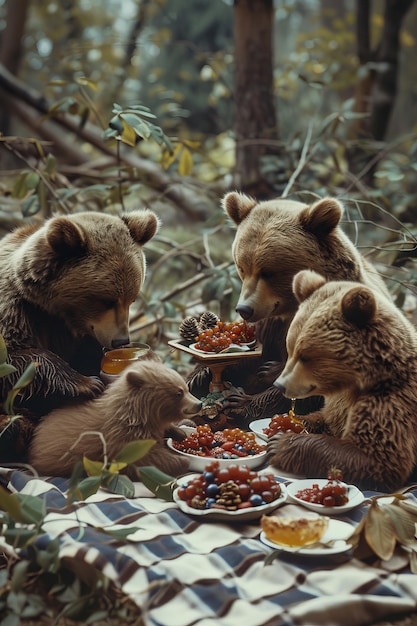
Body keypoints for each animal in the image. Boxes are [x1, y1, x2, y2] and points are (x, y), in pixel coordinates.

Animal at [0, 208, 159, 414]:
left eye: (132, 299)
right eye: (106, 301)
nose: (121, 341)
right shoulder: (17, 310)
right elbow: (15, 359)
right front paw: (87, 383)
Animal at [28, 358, 202, 476]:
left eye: (186, 388)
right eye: (178, 393)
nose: (199, 404)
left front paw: (181, 433)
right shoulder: (123, 437)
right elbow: (144, 460)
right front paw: (184, 460)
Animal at [266, 270, 416, 490]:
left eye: (306, 356)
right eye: (290, 348)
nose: (280, 385)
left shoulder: (391, 404)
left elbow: (377, 459)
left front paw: (279, 443)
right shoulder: (340, 401)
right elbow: (326, 419)